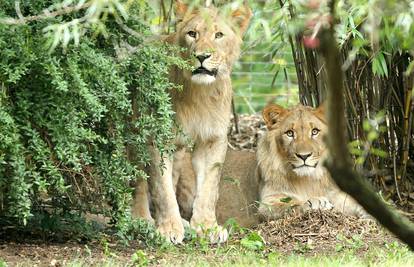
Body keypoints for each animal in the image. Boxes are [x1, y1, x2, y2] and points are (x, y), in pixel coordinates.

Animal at [132, 0, 252, 244]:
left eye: (218, 35)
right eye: (192, 34)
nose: (202, 56)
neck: (201, 93)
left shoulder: (212, 140)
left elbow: (208, 189)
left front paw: (207, 227)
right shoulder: (158, 140)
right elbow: (161, 188)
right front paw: (168, 229)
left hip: (178, 151)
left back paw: (184, 223)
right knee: (137, 180)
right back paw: (141, 219)